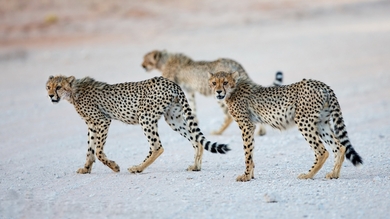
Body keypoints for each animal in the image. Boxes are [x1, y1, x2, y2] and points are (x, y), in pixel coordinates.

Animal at [46, 75, 229, 175]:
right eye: (48, 86)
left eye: (58, 87)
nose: (50, 96)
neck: (73, 91)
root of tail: (170, 82)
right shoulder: (91, 125)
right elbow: (90, 150)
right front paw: (85, 169)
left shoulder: (103, 121)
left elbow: (98, 150)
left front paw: (114, 166)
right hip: (173, 118)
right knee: (196, 139)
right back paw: (196, 166)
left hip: (145, 117)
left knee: (157, 147)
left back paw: (138, 168)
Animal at [142, 49, 282, 136]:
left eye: (146, 60)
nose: (142, 65)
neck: (164, 60)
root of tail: (233, 62)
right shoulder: (188, 90)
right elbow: (192, 105)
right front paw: (194, 120)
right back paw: (261, 131)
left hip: (219, 95)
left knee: (228, 116)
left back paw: (218, 132)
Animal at [209, 71, 364, 181]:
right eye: (214, 83)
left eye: (225, 82)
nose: (218, 91)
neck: (233, 89)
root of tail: (320, 83)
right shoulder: (251, 126)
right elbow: (251, 151)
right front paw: (251, 175)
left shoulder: (247, 125)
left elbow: (247, 153)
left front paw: (246, 176)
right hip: (321, 123)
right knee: (340, 146)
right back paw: (334, 174)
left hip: (303, 121)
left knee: (322, 151)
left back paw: (308, 175)